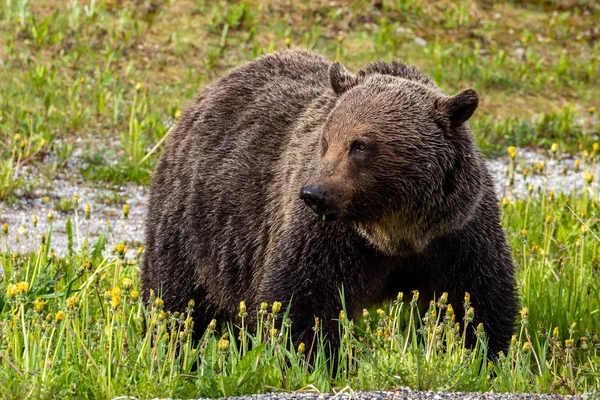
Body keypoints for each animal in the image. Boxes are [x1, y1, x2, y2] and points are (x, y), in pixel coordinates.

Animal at [143, 50, 516, 356]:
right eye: (326, 140)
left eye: (360, 145)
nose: (313, 193)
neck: (394, 230)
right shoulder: (326, 238)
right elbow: (301, 301)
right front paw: (307, 356)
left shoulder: (457, 233)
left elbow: (477, 300)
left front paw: (483, 354)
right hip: (196, 222)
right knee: (174, 295)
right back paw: (168, 343)